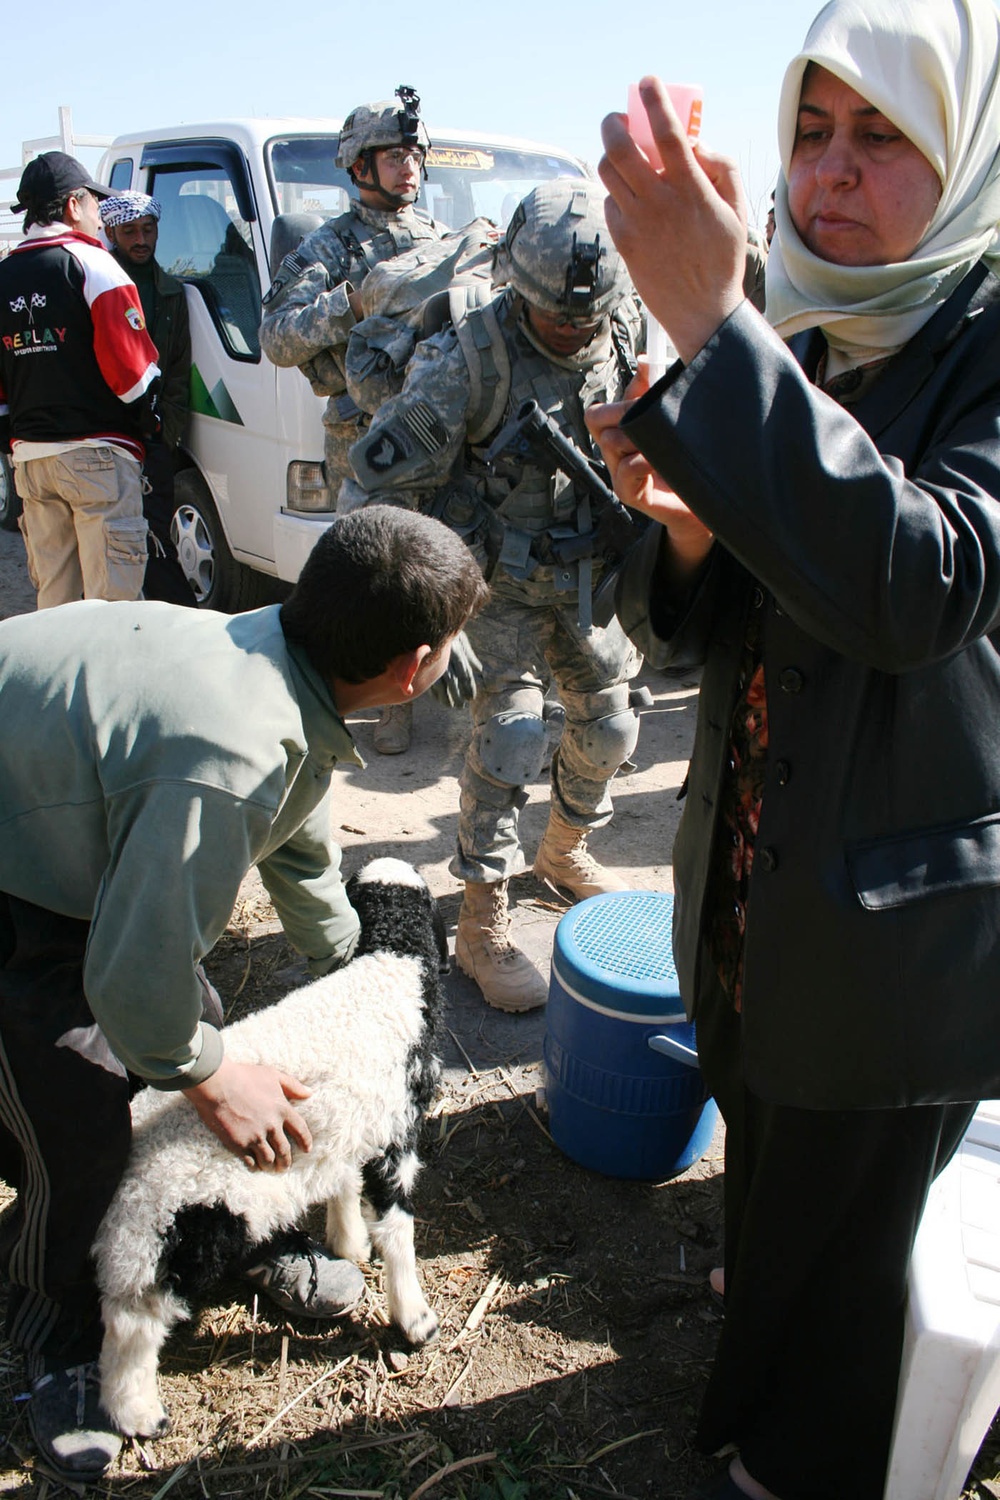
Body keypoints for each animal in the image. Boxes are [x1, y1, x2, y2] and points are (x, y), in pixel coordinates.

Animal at [93, 858, 446, 1440]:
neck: (388, 965)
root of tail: (130, 1155)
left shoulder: (349, 1123)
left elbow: (342, 1179)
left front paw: (348, 1242)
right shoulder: (395, 1132)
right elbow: (398, 1227)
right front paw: (415, 1318)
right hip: (188, 1227)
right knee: (133, 1318)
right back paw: (136, 1412)